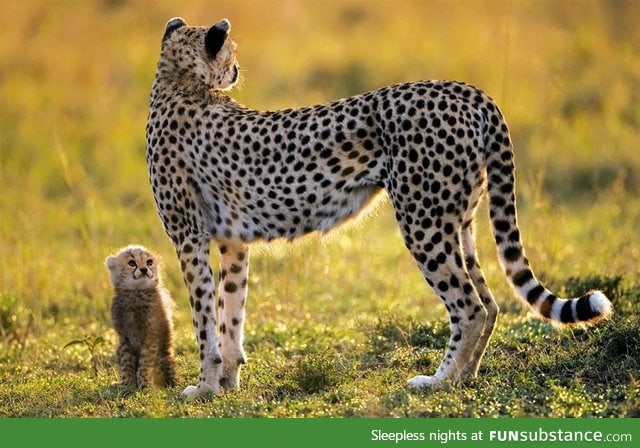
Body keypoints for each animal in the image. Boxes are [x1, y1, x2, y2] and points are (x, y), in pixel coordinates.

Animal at [144, 17, 608, 400]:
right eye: (232, 52)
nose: (237, 70)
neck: (176, 83)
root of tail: (466, 90)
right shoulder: (233, 242)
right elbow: (230, 316)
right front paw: (225, 383)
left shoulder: (190, 238)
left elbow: (204, 319)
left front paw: (204, 387)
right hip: (458, 221)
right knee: (490, 302)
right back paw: (466, 377)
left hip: (423, 222)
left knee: (469, 307)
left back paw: (438, 382)